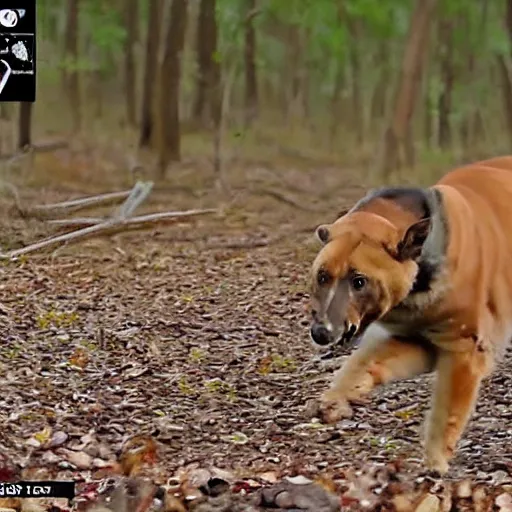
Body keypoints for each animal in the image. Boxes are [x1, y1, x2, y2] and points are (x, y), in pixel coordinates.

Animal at [310, 157, 512, 476]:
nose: (321, 332)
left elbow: (448, 412)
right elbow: (365, 363)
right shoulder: (415, 339)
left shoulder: (464, 347)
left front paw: (435, 462)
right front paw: (338, 397)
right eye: (322, 275)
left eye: (359, 281)